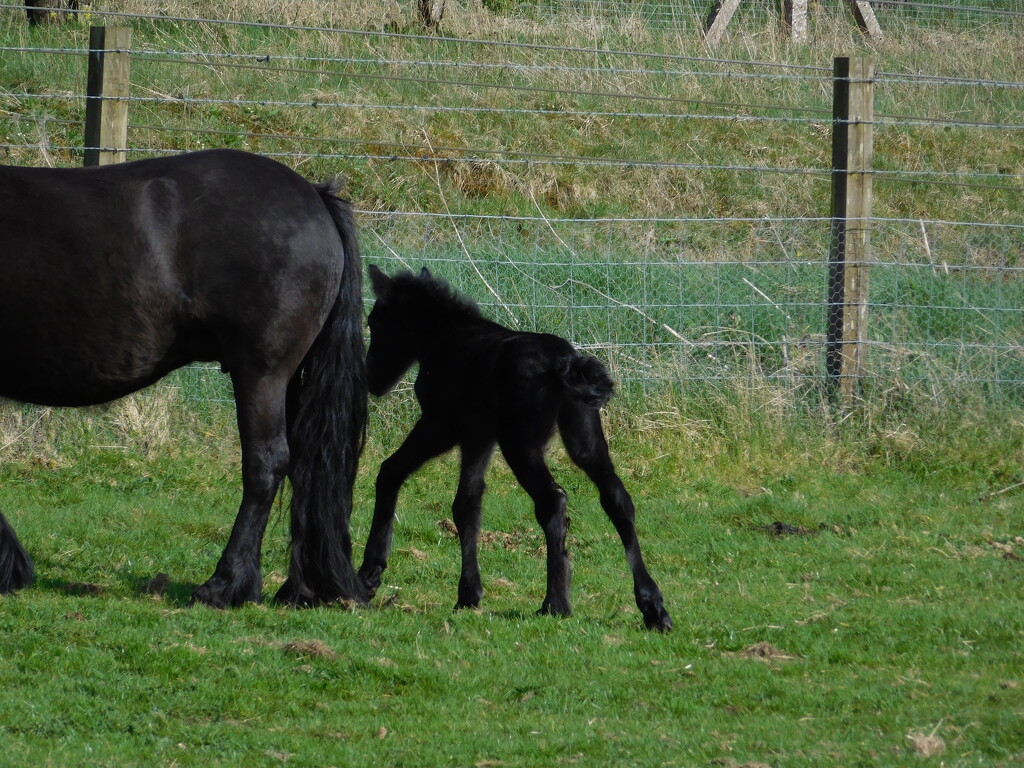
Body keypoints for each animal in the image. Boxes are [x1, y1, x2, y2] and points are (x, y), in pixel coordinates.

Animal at [358, 265, 672, 631]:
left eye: (375, 322)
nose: (372, 379)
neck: (446, 338)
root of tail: (565, 361)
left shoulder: (442, 425)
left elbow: (391, 471)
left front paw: (371, 573)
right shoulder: (478, 435)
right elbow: (467, 504)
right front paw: (469, 594)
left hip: (520, 444)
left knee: (552, 500)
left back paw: (555, 603)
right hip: (584, 437)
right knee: (617, 499)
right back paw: (653, 607)